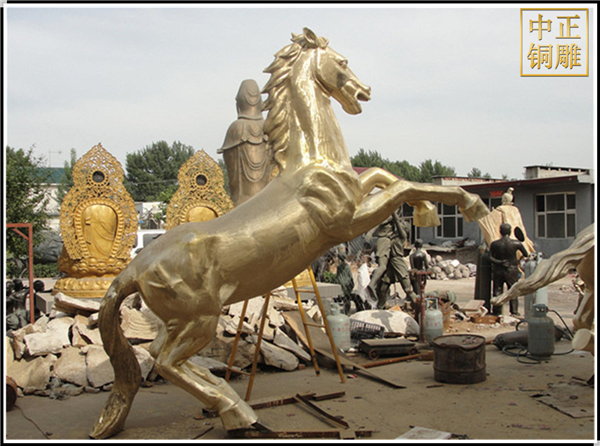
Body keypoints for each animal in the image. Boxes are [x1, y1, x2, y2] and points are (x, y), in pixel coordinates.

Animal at [90, 28, 492, 440]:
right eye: (343, 61)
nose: (365, 91)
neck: (314, 162)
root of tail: (134, 270)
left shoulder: (357, 197)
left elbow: (382, 175)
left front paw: (428, 212)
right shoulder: (347, 221)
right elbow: (402, 186)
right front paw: (474, 207)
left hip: (180, 322)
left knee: (160, 354)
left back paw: (227, 398)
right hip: (199, 318)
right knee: (166, 361)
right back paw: (238, 412)